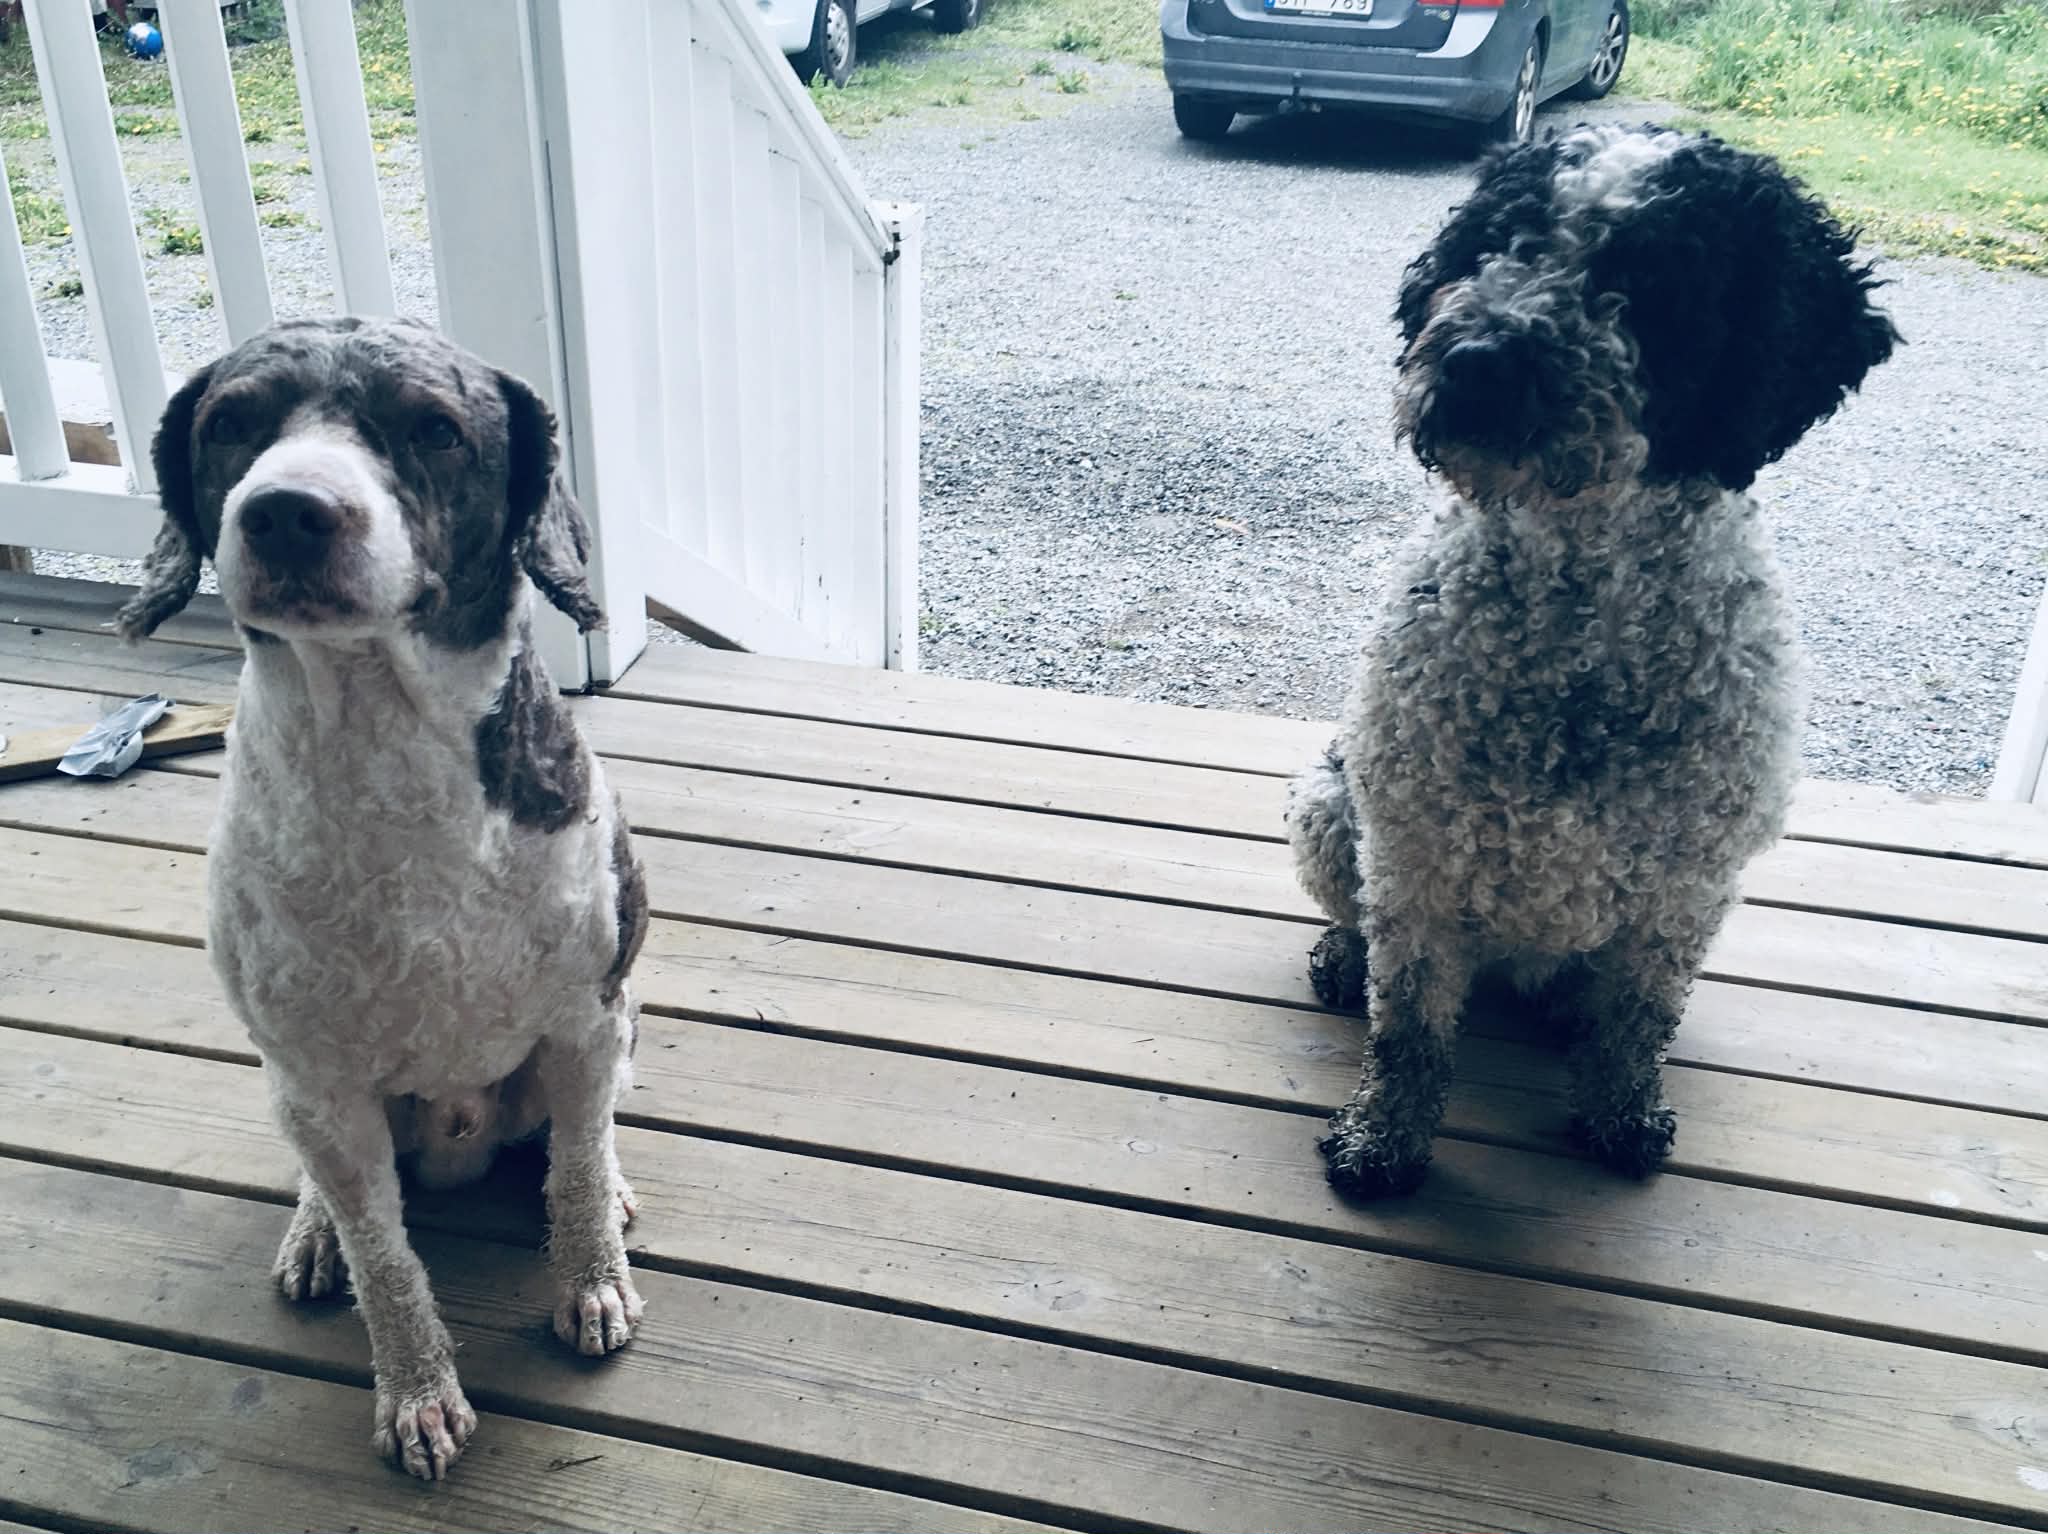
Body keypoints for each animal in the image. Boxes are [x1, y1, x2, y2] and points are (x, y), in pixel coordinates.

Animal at [118, 316, 650, 1479]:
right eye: (232, 423)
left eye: (435, 428)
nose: (285, 510)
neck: (386, 754)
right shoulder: (319, 1081)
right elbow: (384, 1258)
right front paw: (416, 1391)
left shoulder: (587, 1022)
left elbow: (578, 1178)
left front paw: (590, 1281)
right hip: (302, 1096)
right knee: (334, 1186)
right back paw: (314, 1228)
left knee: (578, 1143)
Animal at [1287, 125, 1897, 1197]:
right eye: (1502, 240)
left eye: (1654, 280)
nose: (1478, 359)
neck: (1576, 628)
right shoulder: (1415, 860)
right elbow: (1409, 1031)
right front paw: (1383, 1139)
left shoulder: (1687, 893)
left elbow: (1636, 1024)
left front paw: (1619, 1113)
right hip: (1330, 804)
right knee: (1363, 932)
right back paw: (1343, 959)